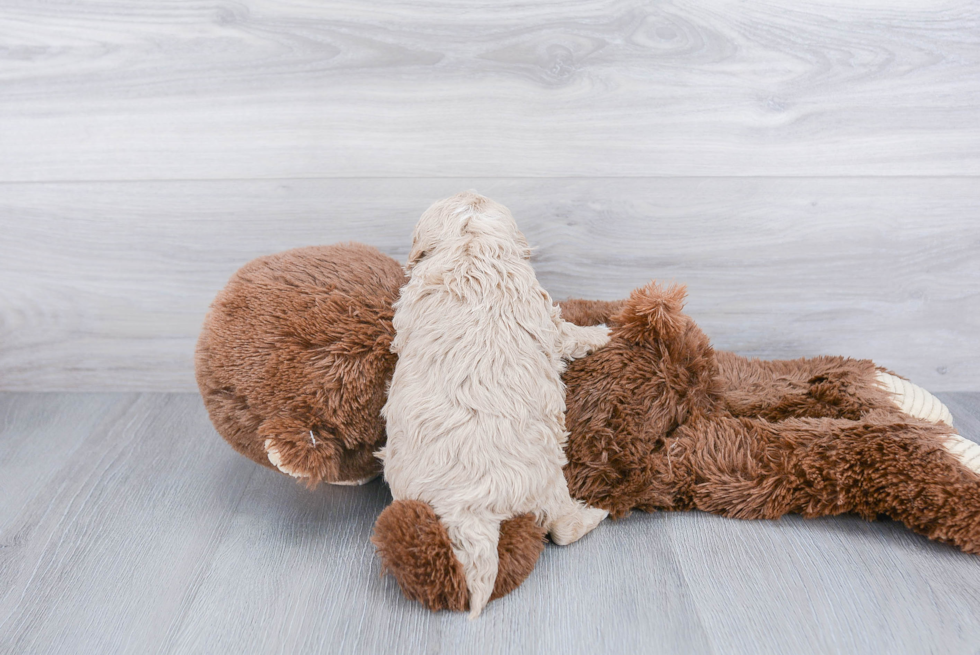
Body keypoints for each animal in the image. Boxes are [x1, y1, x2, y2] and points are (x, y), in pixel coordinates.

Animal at [378, 192, 608, 616]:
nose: (472, 192)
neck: (470, 245)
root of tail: (469, 508)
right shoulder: (544, 313)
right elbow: (568, 333)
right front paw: (602, 333)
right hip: (548, 480)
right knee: (562, 528)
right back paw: (593, 513)